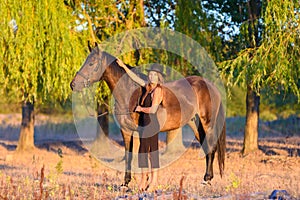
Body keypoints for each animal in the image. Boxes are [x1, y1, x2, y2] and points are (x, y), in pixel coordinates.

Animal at [70, 45, 225, 186]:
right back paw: (207, 178)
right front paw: (126, 182)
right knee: (207, 148)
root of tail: (212, 86)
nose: (73, 85)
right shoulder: (126, 131)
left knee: (211, 147)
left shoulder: (141, 132)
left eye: (91, 63)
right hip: (195, 125)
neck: (130, 94)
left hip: (207, 124)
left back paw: (207, 179)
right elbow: (128, 155)